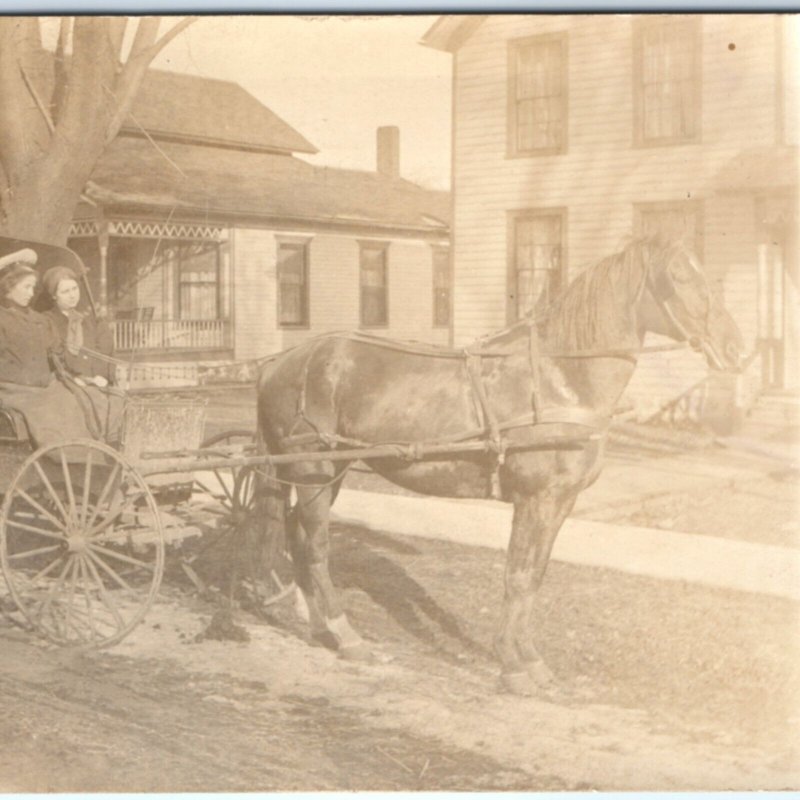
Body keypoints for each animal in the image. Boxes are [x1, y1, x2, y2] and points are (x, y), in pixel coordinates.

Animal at [255, 238, 744, 692]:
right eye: (679, 277)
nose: (736, 348)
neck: (560, 378)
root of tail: (281, 363)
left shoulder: (559, 503)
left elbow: (535, 575)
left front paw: (531, 660)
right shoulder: (535, 500)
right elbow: (518, 576)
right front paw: (512, 665)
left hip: (324, 475)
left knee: (298, 536)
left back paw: (318, 625)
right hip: (315, 472)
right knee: (317, 547)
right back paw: (346, 635)